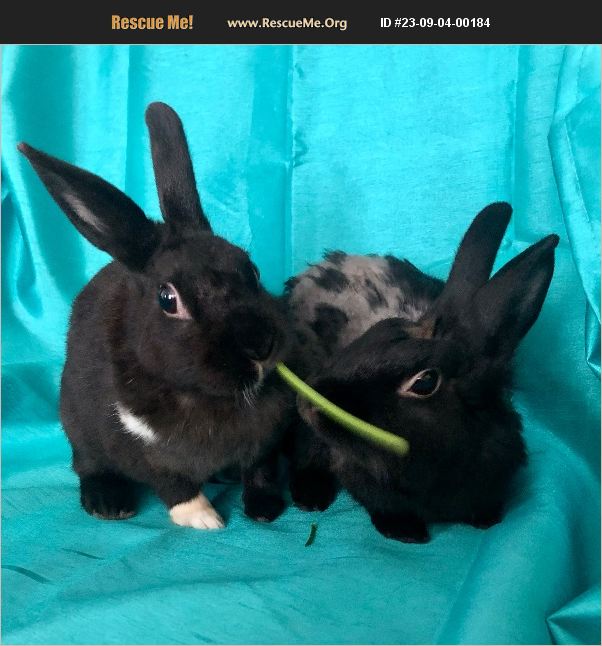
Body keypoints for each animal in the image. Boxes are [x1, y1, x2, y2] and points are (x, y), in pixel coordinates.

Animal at [17, 102, 294, 530]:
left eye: (251, 268)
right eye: (168, 300)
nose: (261, 346)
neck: (211, 397)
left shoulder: (267, 441)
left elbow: (262, 469)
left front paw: (265, 509)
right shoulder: (140, 448)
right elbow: (172, 483)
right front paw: (204, 519)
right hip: (76, 426)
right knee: (87, 465)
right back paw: (108, 503)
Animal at [284, 202, 558, 542]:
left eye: (425, 382)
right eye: (375, 333)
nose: (309, 403)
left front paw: (487, 520)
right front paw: (407, 532)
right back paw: (310, 498)